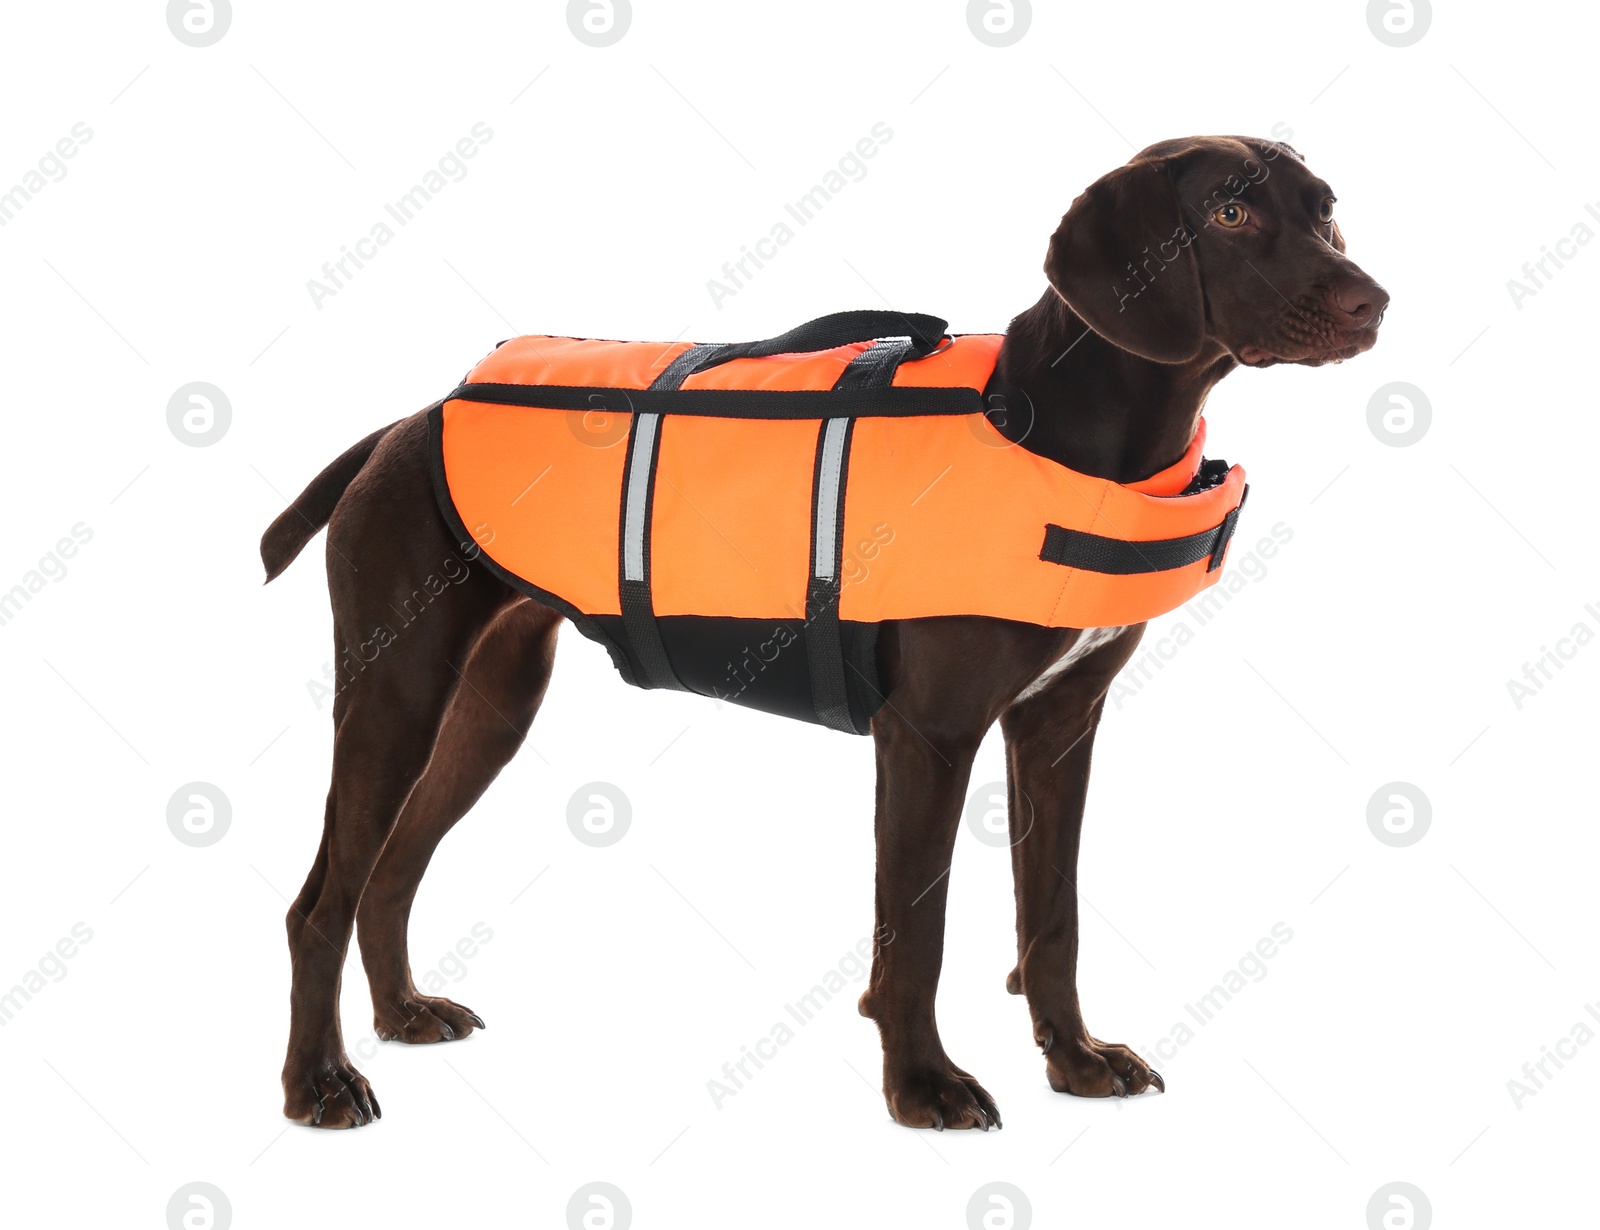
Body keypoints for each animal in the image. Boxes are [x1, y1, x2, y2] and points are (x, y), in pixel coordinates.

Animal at [262, 136, 1388, 1132]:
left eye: (1327, 209)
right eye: (1230, 213)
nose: (1371, 301)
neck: (1062, 426)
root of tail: (412, 421)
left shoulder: (1059, 725)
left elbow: (1053, 918)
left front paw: (1072, 1059)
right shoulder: (928, 736)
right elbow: (917, 932)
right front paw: (924, 1084)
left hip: (490, 704)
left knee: (390, 871)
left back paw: (403, 1015)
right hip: (397, 693)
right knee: (320, 901)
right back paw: (318, 1082)